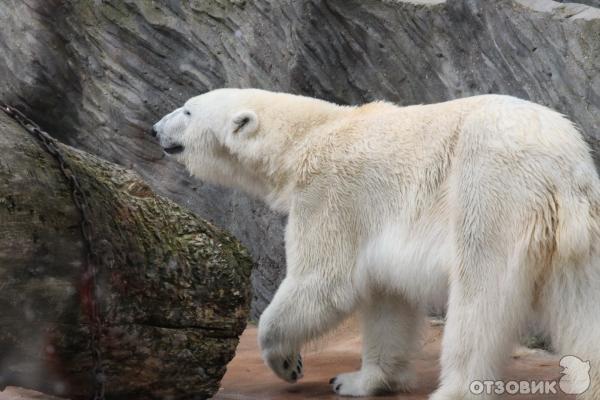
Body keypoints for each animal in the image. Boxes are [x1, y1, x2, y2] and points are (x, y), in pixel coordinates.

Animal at [152, 88, 600, 400]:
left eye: (188, 110)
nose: (155, 128)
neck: (311, 134)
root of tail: (563, 164)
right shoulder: (375, 229)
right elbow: (387, 298)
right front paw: (355, 381)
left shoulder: (330, 194)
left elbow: (323, 281)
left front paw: (286, 361)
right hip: (578, 234)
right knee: (582, 306)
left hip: (490, 192)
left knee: (479, 299)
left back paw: (453, 389)